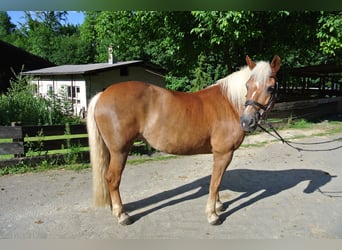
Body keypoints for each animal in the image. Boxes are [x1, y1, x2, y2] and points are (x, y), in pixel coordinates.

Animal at [87, 55, 280, 227]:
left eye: (270, 88)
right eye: (247, 85)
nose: (247, 121)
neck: (229, 103)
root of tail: (102, 94)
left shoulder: (219, 154)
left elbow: (217, 180)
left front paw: (218, 205)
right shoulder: (224, 153)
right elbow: (215, 182)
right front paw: (212, 215)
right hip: (119, 151)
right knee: (113, 179)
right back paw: (122, 215)